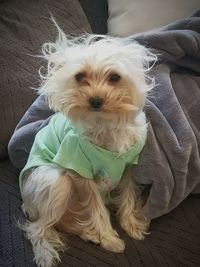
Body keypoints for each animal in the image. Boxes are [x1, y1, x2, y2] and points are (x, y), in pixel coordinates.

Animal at [19, 21, 156, 267]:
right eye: (80, 76)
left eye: (114, 77)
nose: (95, 100)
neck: (105, 124)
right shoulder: (80, 173)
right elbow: (97, 209)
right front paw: (109, 238)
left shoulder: (129, 168)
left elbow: (128, 195)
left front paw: (131, 224)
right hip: (56, 180)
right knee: (38, 227)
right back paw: (46, 252)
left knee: (63, 222)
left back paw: (87, 234)